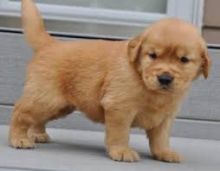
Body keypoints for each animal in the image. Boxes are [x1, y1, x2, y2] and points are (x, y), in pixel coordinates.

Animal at [9, 0, 211, 163]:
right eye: (152, 55)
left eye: (184, 60)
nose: (165, 78)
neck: (143, 80)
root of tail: (50, 44)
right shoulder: (120, 107)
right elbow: (120, 133)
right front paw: (121, 151)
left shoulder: (165, 115)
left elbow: (161, 136)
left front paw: (164, 152)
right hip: (46, 98)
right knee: (20, 111)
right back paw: (18, 138)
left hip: (59, 105)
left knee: (37, 118)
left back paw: (38, 134)